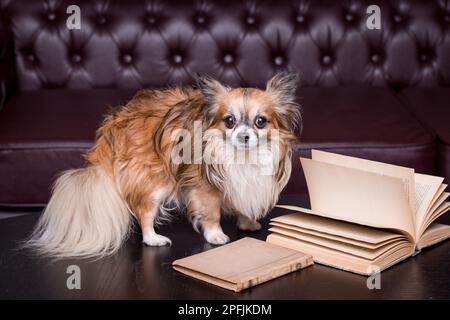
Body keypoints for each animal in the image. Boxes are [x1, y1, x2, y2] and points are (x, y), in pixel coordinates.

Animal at [25, 73, 302, 258]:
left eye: (260, 121)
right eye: (229, 121)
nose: (244, 136)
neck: (244, 157)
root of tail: (115, 122)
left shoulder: (247, 183)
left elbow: (245, 201)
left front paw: (247, 223)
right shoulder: (204, 188)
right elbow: (211, 214)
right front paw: (216, 236)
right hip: (156, 184)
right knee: (144, 213)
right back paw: (153, 239)